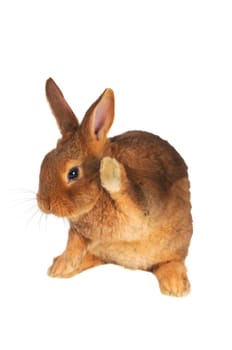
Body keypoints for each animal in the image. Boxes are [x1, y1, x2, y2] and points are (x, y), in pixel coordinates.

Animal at [36, 78, 192, 296]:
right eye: (45, 160)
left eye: (73, 173)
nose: (45, 204)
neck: (96, 199)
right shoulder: (80, 232)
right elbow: (73, 242)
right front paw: (65, 264)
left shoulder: (142, 207)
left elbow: (128, 196)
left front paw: (110, 169)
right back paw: (59, 267)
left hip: (177, 242)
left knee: (172, 261)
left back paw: (175, 286)